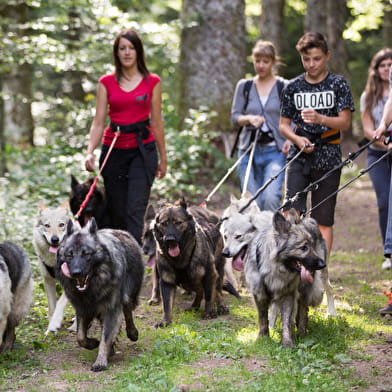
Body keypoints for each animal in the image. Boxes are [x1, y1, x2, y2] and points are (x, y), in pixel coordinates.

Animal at [56, 219, 145, 372]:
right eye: (69, 255)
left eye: (86, 254)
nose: (76, 273)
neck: (92, 288)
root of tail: (121, 231)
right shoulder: (83, 309)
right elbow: (80, 337)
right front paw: (93, 343)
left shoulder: (111, 309)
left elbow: (106, 336)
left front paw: (101, 361)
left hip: (129, 295)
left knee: (128, 311)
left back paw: (132, 333)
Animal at [152, 198, 228, 326]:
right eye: (164, 224)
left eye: (178, 223)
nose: (169, 239)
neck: (180, 259)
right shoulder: (167, 281)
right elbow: (167, 305)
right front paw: (165, 321)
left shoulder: (210, 274)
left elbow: (209, 295)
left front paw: (209, 312)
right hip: (192, 279)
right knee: (199, 290)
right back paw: (194, 306)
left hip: (216, 271)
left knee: (217, 290)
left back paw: (221, 306)